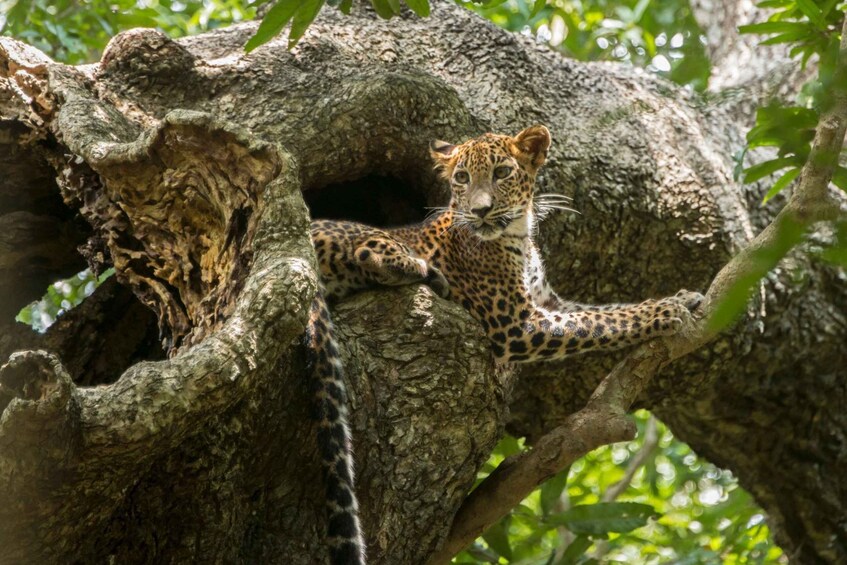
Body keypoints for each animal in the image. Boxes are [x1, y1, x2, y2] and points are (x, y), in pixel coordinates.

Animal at [305, 125, 703, 565]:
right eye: (461, 178)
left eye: (502, 173)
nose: (480, 210)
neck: (518, 237)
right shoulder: (518, 323)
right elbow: (602, 322)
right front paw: (665, 311)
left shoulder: (550, 303)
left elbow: (606, 309)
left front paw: (682, 297)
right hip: (354, 234)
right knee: (368, 250)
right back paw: (425, 272)